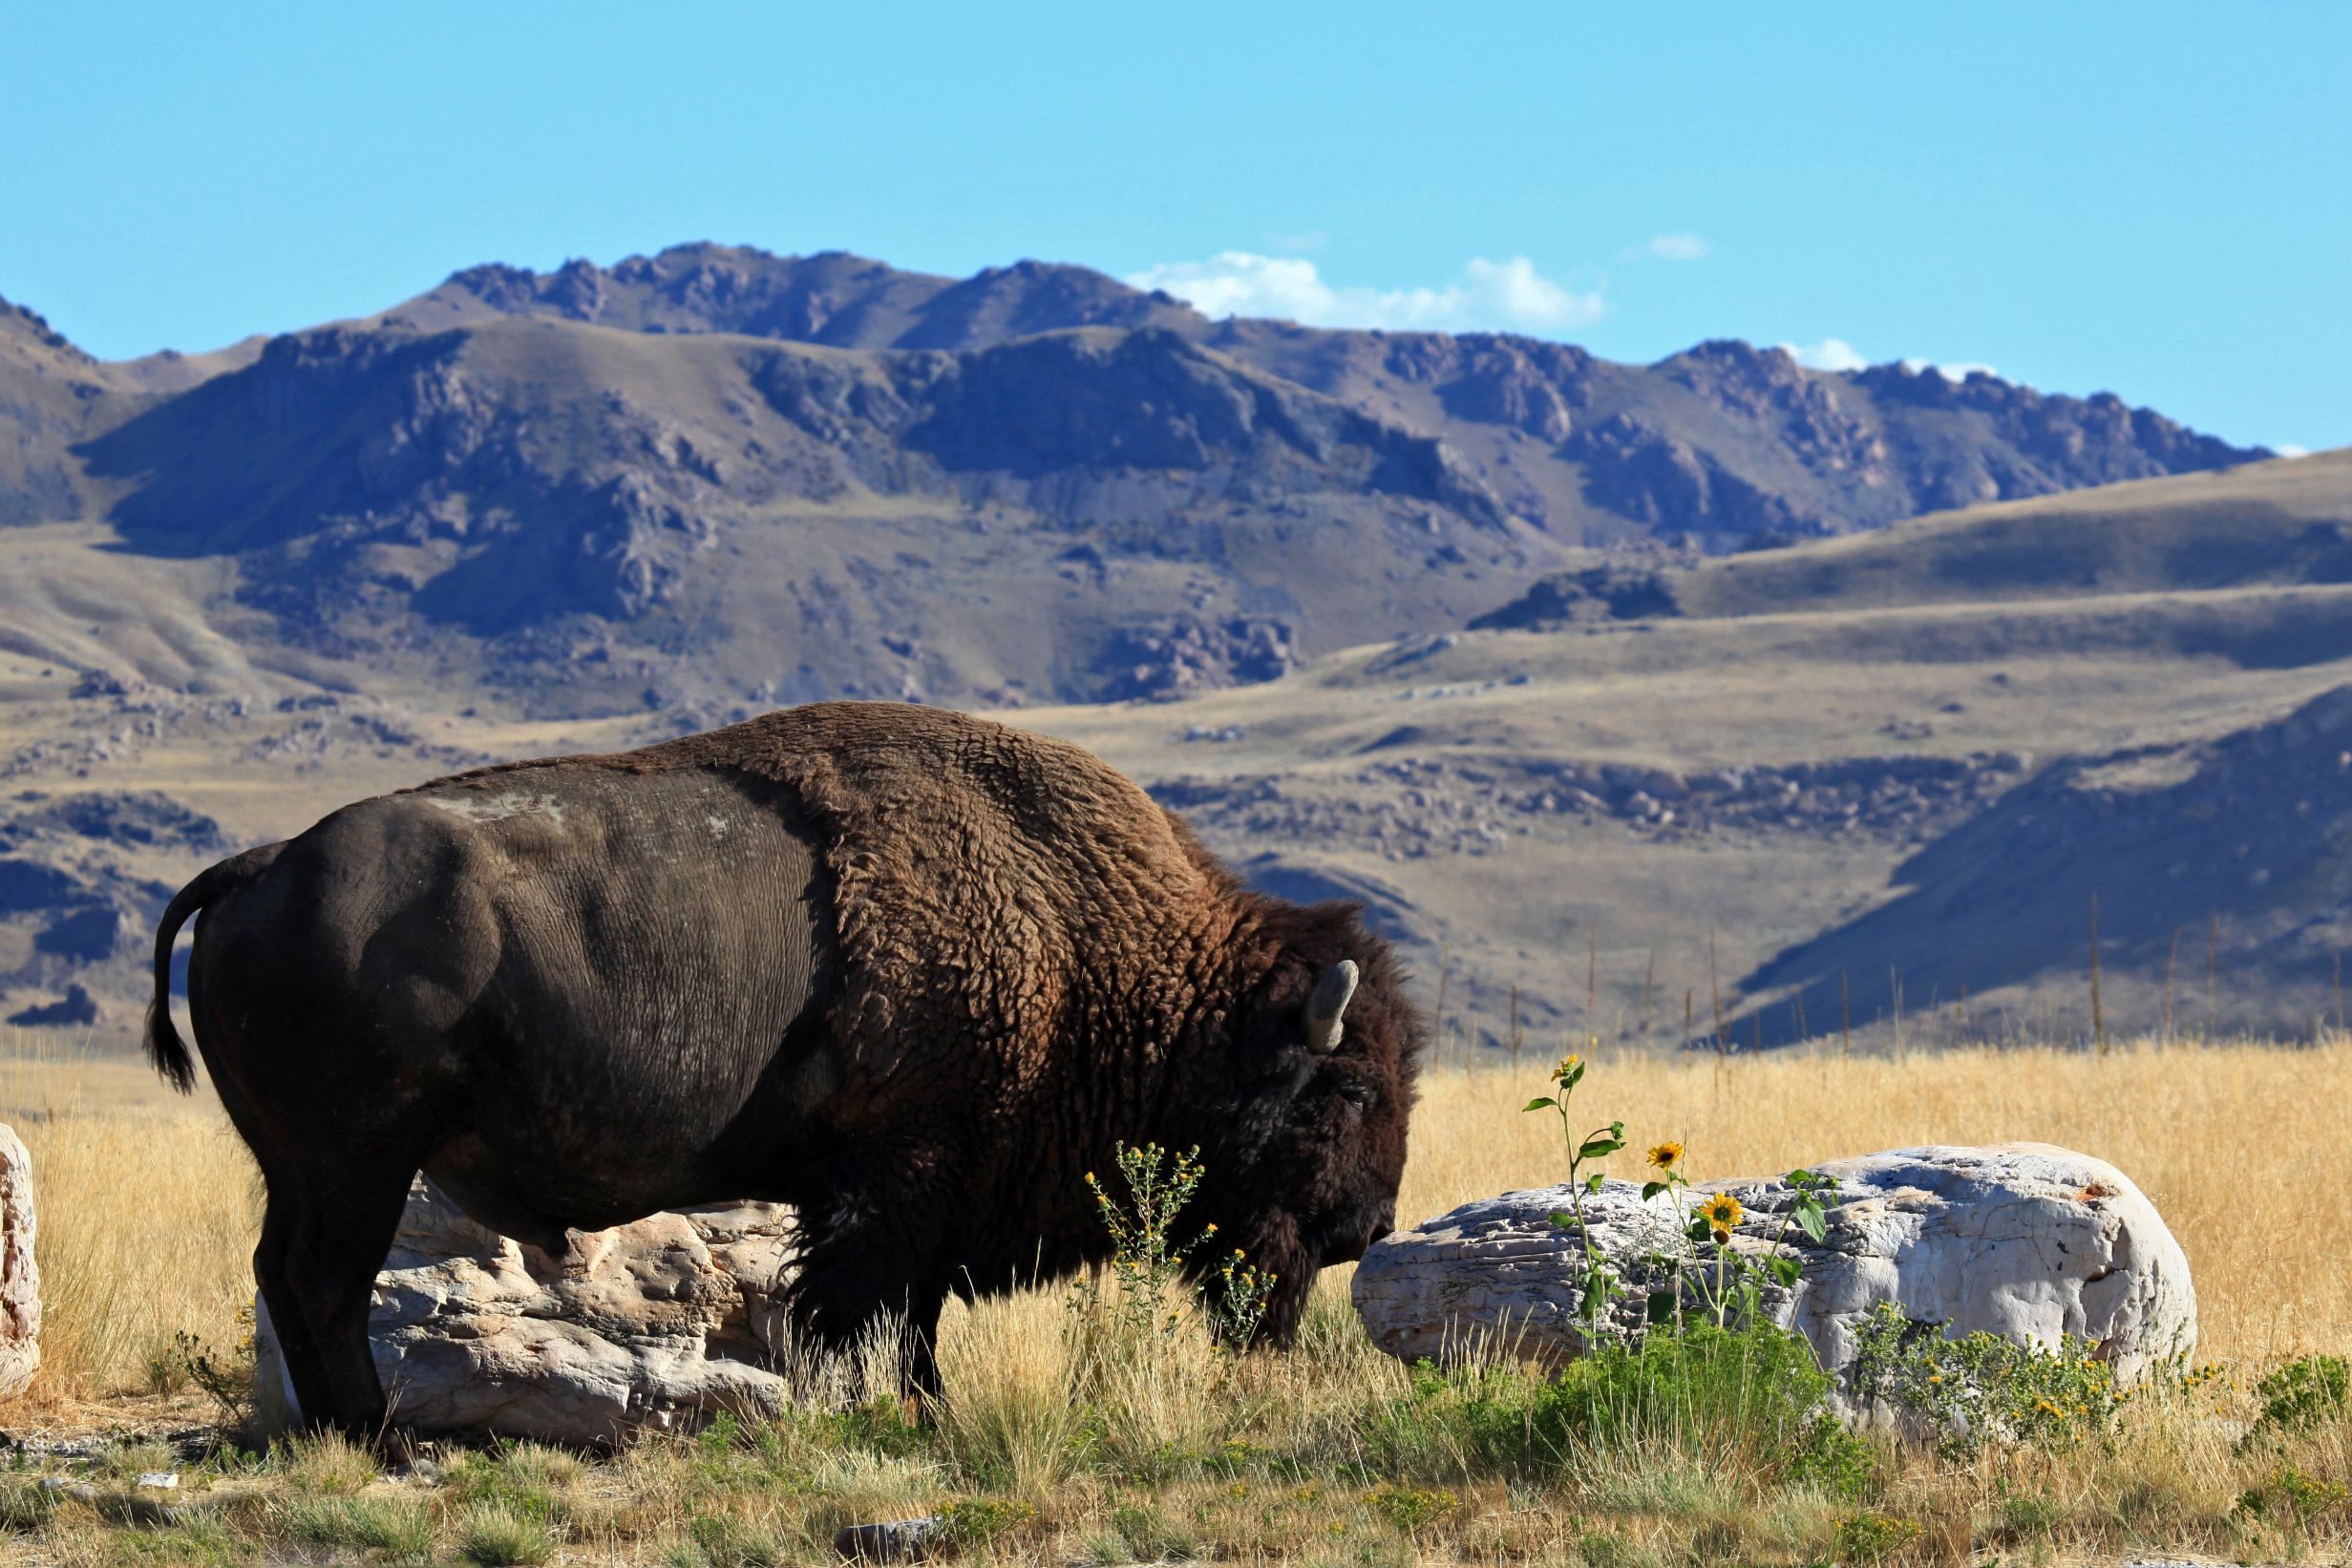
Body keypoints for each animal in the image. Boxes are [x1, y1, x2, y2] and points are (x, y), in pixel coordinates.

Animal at [151, 705, 1430, 1438]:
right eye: (1348, 1088)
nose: (1368, 1225)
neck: (1092, 945)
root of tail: (262, 864)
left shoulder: (919, 1196)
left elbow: (907, 1317)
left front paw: (919, 1413)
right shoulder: (897, 1179)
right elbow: (869, 1312)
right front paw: (893, 1416)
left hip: (305, 1168)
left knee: (284, 1277)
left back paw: (330, 1434)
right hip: (357, 1161)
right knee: (324, 1283)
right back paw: (380, 1440)